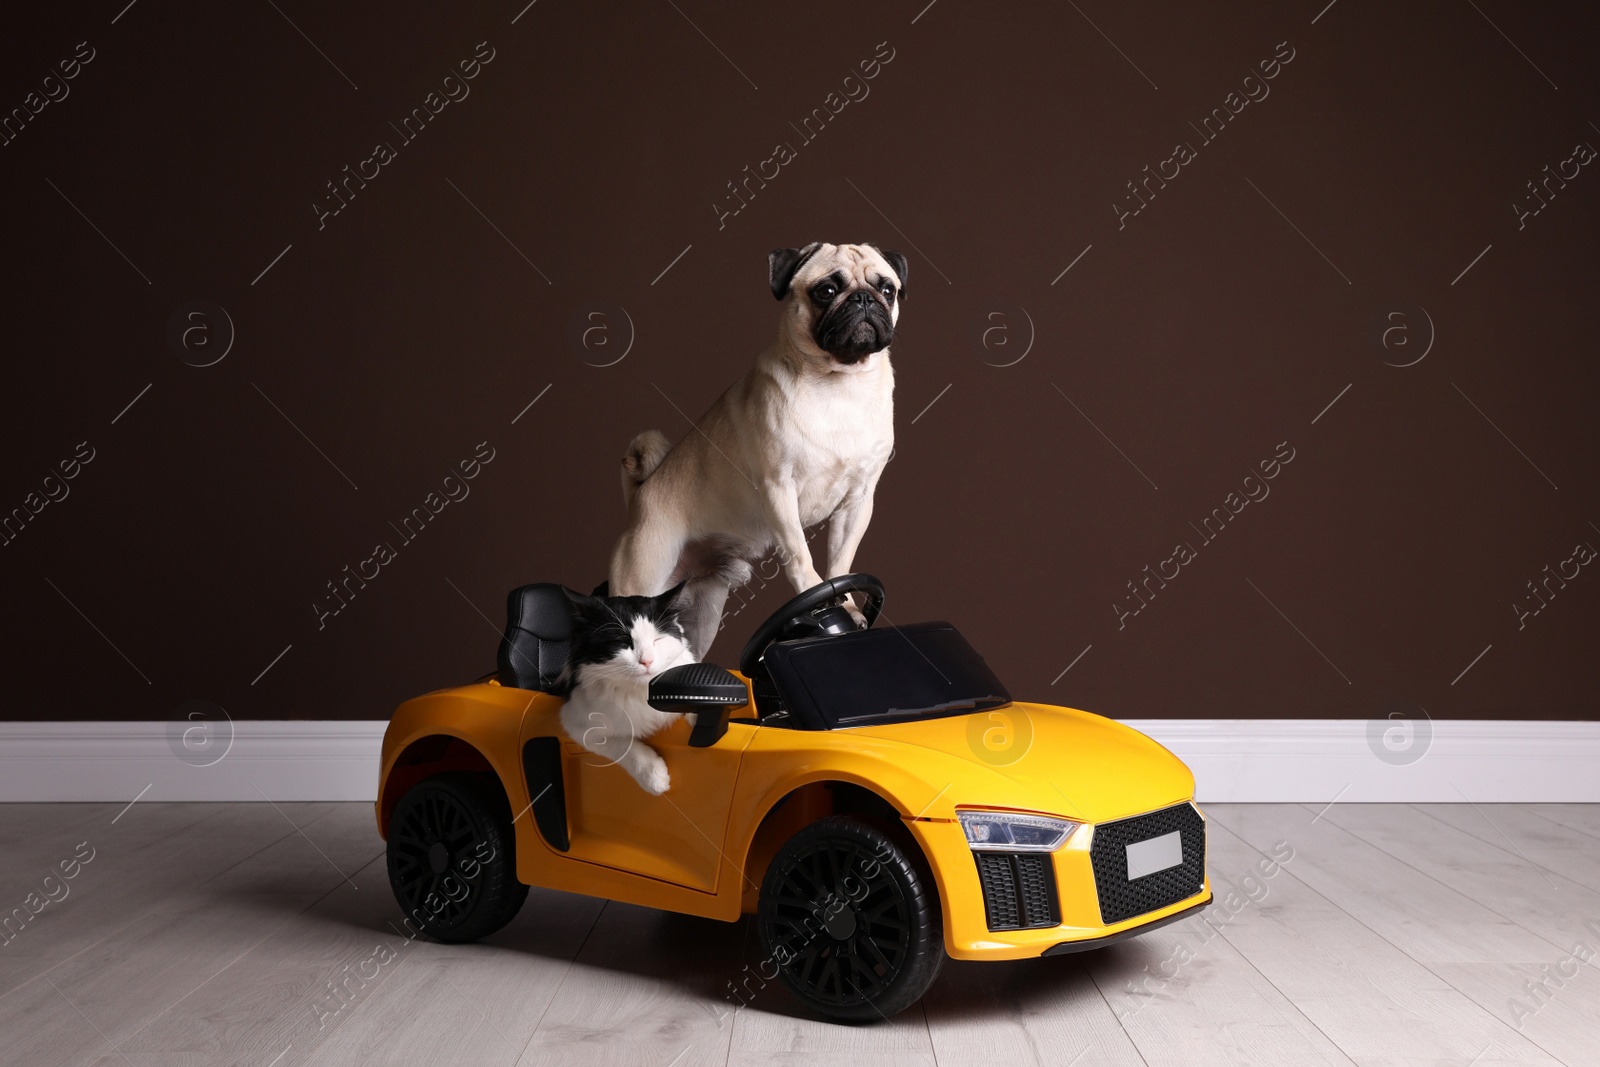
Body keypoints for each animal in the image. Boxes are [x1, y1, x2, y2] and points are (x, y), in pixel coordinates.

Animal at [556, 585, 694, 793]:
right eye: (623, 642)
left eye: (657, 640)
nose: (647, 661)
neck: (642, 692)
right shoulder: (575, 722)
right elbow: (622, 746)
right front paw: (653, 777)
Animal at [611, 241, 908, 659]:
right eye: (826, 291)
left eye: (888, 290)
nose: (864, 298)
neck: (840, 384)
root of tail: (639, 498)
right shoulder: (779, 489)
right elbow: (800, 554)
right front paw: (815, 598)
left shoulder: (858, 502)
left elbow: (841, 561)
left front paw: (846, 605)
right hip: (642, 576)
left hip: (701, 614)